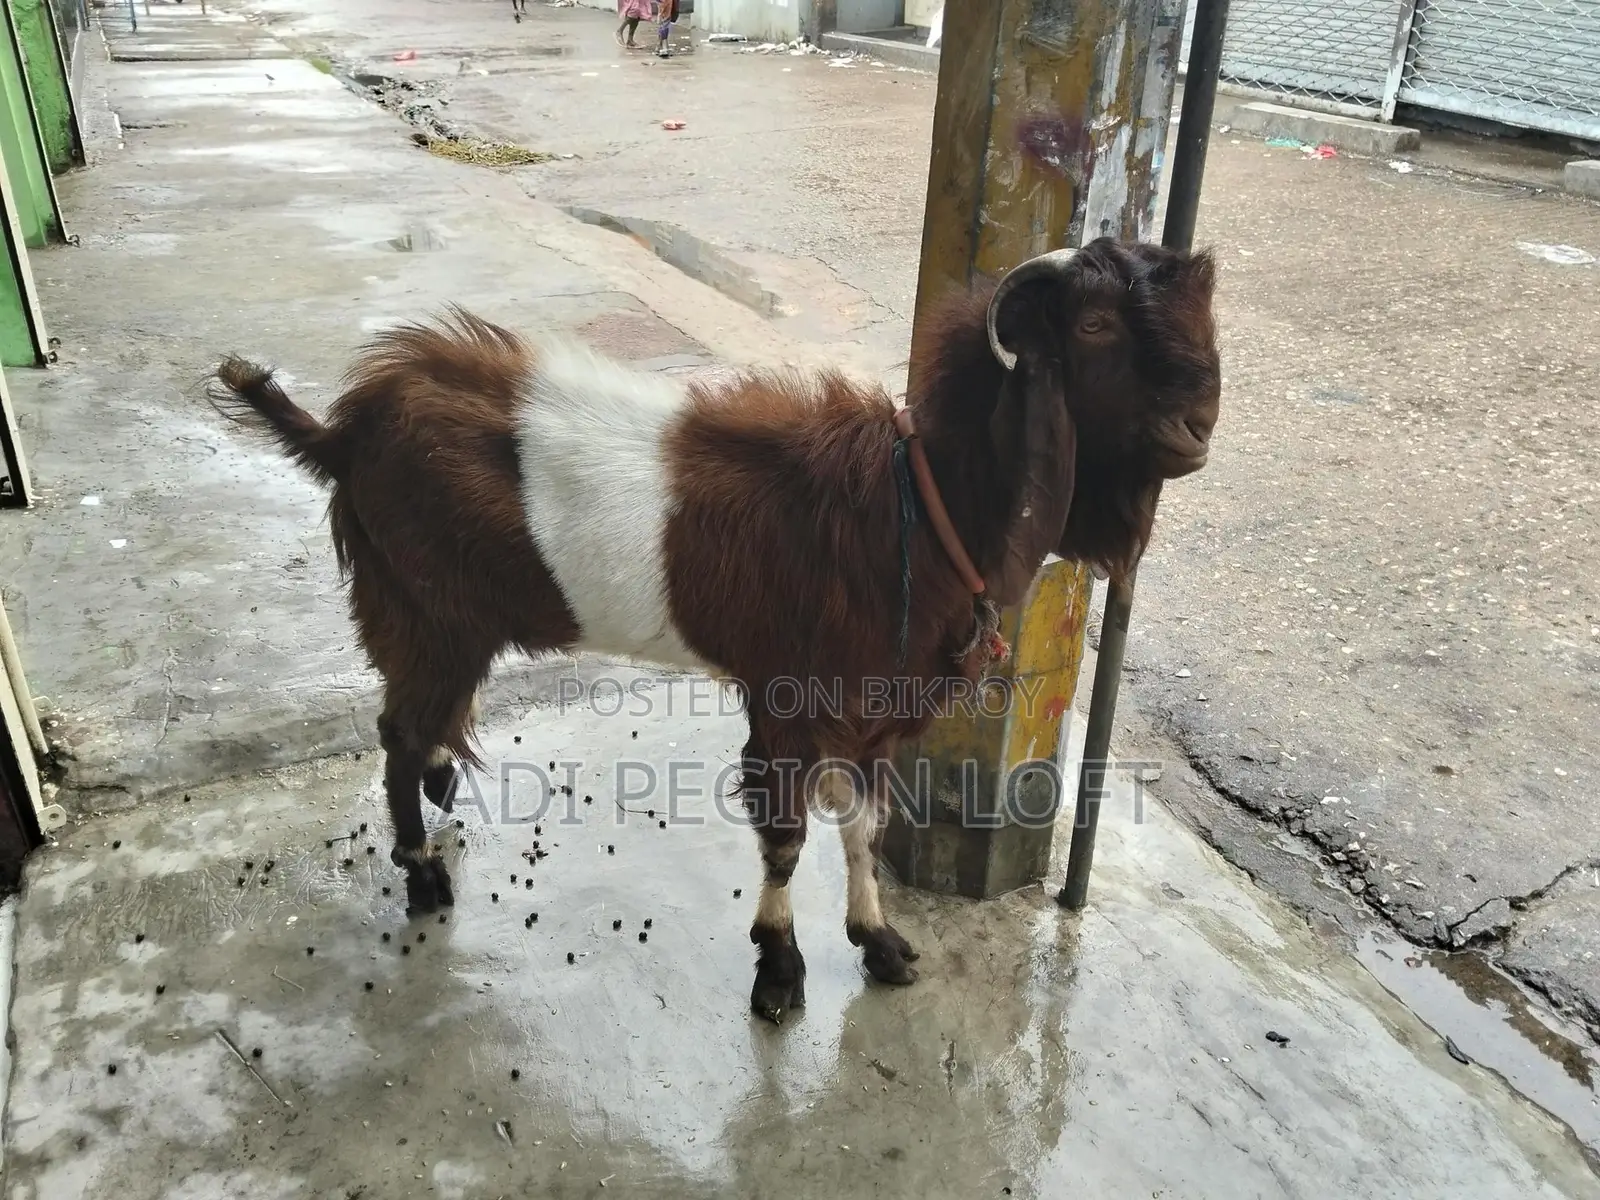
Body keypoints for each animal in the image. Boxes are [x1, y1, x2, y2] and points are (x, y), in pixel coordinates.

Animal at [210, 236, 1220, 1022]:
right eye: (1093, 326)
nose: (1197, 424)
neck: (921, 506)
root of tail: (346, 431)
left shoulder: (875, 714)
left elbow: (864, 825)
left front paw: (880, 943)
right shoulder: (791, 702)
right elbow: (787, 837)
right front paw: (779, 971)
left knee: (419, 728)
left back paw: (441, 786)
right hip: (424, 612)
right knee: (396, 729)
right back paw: (422, 873)